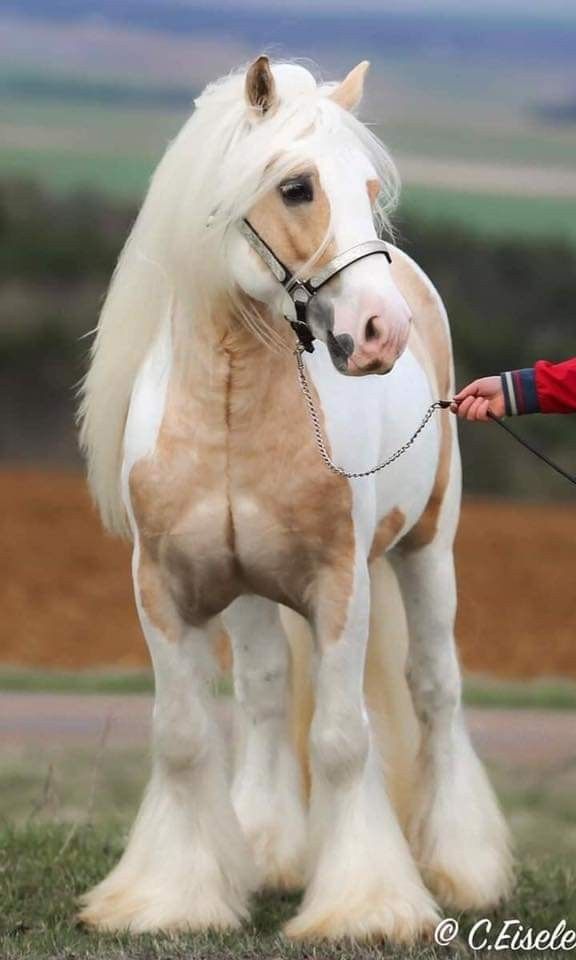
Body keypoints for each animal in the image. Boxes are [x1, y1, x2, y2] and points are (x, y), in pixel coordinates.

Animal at [75, 56, 508, 940]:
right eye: (297, 187)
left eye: (369, 187)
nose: (381, 331)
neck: (232, 407)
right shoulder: (163, 590)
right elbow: (183, 736)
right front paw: (171, 897)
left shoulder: (339, 587)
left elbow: (344, 741)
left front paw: (366, 908)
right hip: (248, 595)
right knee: (268, 697)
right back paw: (270, 850)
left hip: (426, 552)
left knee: (435, 690)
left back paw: (462, 868)